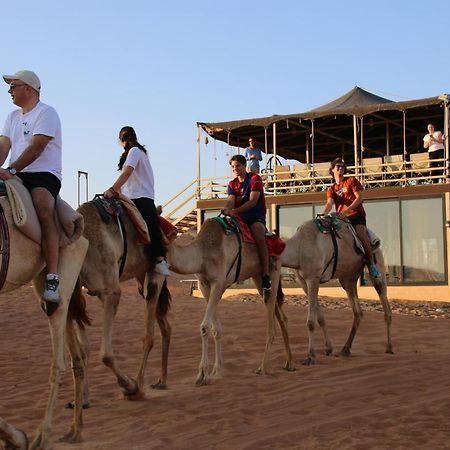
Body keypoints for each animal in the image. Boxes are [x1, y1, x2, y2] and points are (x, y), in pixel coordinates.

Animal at [0, 197, 90, 450]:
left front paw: (18, 438)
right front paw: (15, 438)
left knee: (59, 362)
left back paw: (42, 436)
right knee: (78, 357)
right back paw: (74, 430)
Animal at [69, 197, 172, 400]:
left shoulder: (111, 292)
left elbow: (106, 355)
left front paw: (129, 386)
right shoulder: (79, 296)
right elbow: (83, 350)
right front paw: (83, 398)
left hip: (155, 272)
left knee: (149, 335)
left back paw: (139, 385)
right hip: (139, 276)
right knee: (165, 326)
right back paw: (161, 381)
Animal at [167, 216, 294, 384]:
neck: (203, 251)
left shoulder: (218, 281)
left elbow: (204, 327)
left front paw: (202, 374)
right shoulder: (205, 285)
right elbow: (216, 329)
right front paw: (216, 371)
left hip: (274, 271)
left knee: (271, 325)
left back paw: (262, 367)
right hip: (257, 277)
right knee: (282, 318)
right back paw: (290, 363)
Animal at [284, 216, 392, 368]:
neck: (299, 247)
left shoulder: (313, 278)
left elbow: (310, 322)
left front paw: (310, 356)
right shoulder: (303, 281)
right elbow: (320, 317)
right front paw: (328, 349)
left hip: (377, 263)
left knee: (384, 302)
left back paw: (389, 347)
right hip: (348, 278)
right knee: (358, 312)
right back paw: (345, 349)